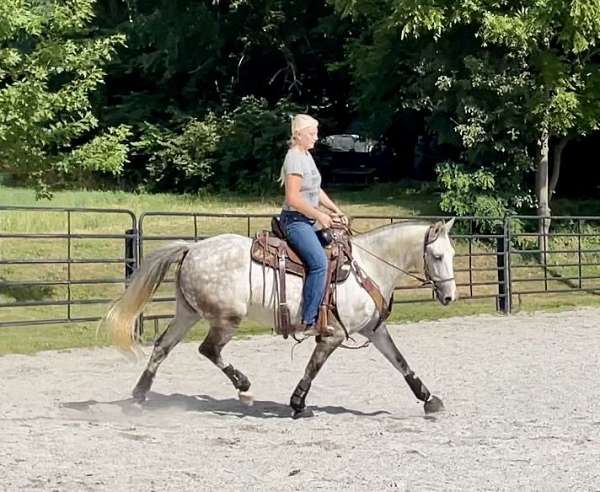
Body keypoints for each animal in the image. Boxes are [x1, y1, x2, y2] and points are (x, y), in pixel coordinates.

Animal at [103, 217, 458, 418]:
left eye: (453, 254)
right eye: (437, 255)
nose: (449, 296)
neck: (367, 267)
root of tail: (192, 249)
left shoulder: (374, 329)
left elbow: (400, 361)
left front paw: (429, 400)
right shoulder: (333, 336)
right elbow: (312, 368)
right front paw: (298, 403)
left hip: (187, 313)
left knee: (163, 346)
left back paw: (139, 396)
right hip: (227, 318)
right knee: (209, 349)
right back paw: (244, 388)